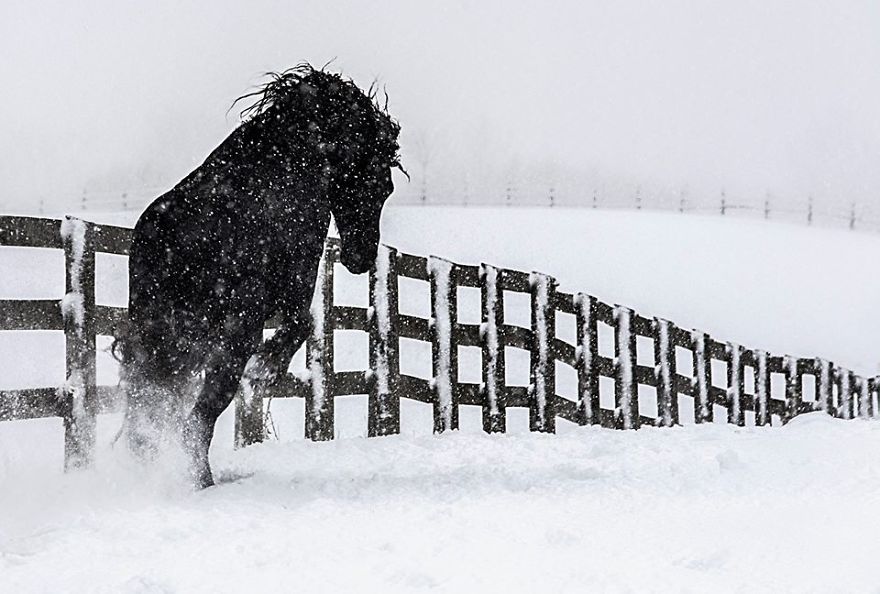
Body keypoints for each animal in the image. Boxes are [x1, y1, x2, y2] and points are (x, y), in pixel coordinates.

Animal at [115, 63, 403, 488]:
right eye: (380, 184)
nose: (361, 256)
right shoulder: (289, 295)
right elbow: (300, 326)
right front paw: (266, 370)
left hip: (169, 342)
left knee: (151, 418)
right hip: (230, 335)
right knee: (196, 419)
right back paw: (202, 482)